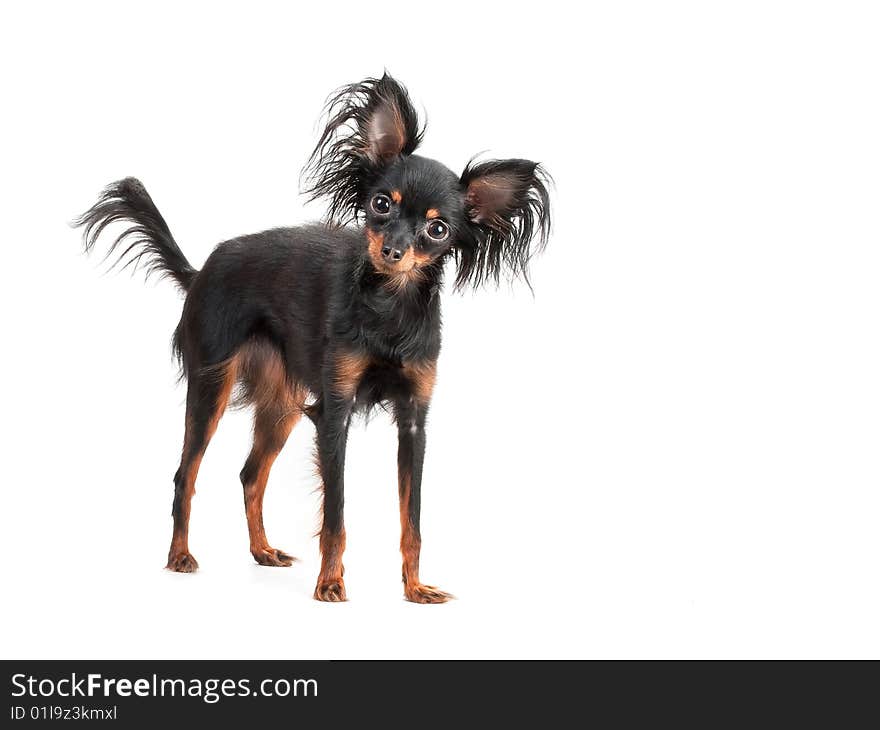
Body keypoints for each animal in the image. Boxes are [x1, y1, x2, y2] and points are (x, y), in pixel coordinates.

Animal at [75, 74, 548, 600]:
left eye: (438, 229)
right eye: (381, 204)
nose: (393, 250)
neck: (389, 306)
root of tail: (200, 272)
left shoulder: (413, 422)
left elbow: (412, 519)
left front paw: (414, 588)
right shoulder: (334, 415)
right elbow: (336, 515)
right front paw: (331, 582)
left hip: (282, 402)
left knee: (250, 475)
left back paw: (262, 551)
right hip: (211, 386)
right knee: (186, 474)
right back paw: (180, 556)